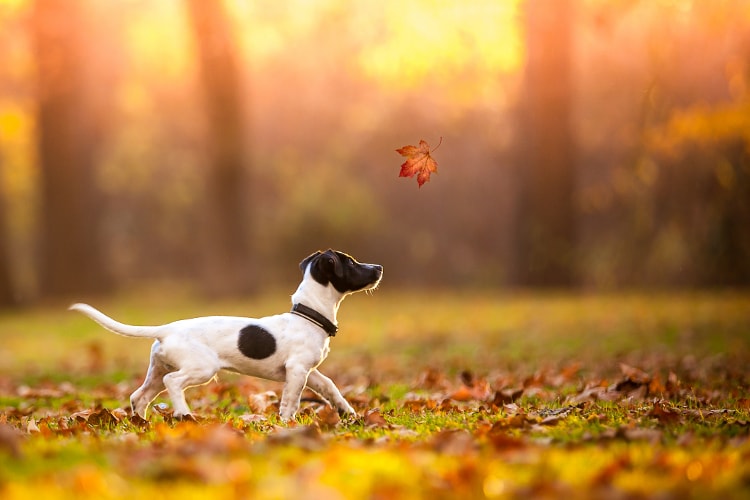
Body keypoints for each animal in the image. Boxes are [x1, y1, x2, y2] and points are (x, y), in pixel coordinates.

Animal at [70, 250, 384, 422]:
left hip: (157, 371)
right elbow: (291, 401)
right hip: (201, 368)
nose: (379, 267)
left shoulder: (309, 371)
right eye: (351, 263)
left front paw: (347, 412)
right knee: (174, 383)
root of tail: (167, 329)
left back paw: (141, 424)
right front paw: (287, 423)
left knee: (139, 396)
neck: (308, 315)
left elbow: (330, 386)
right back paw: (184, 414)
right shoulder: (296, 371)